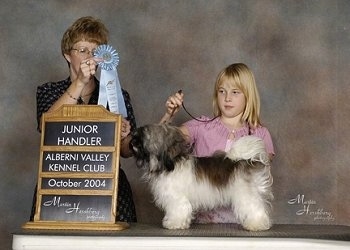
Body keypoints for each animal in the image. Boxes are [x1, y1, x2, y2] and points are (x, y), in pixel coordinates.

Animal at [129, 124, 274, 231]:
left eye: (143, 136)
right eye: (135, 135)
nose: (131, 142)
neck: (170, 164)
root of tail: (246, 160)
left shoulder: (177, 199)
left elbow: (178, 210)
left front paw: (174, 223)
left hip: (245, 194)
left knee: (254, 207)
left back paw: (257, 224)